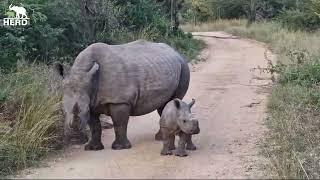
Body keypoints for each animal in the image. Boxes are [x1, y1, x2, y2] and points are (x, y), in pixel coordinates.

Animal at [55, 39, 190, 150]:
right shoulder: (91, 101)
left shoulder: (120, 100)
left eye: (85, 111)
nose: (74, 140)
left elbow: (119, 123)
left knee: (171, 102)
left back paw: (161, 138)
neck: (82, 72)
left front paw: (120, 147)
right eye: (62, 111)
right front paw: (92, 148)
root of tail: (175, 51)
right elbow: (94, 126)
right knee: (163, 106)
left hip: (183, 66)